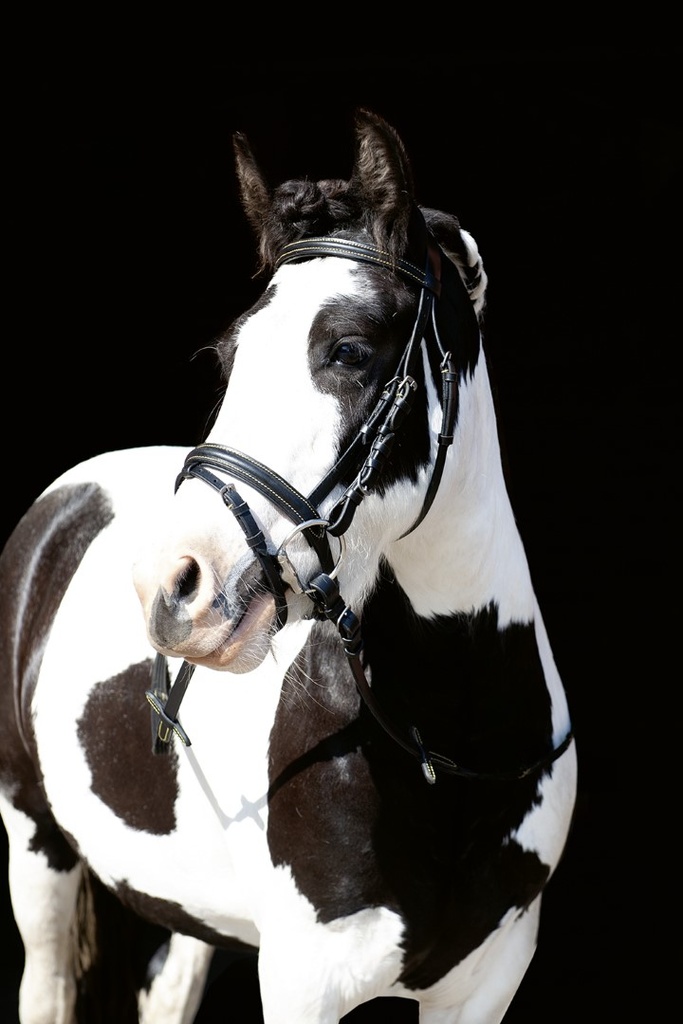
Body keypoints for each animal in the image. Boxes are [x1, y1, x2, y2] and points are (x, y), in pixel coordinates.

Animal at [0, 108, 577, 1023]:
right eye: (228, 357)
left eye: (347, 350)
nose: (174, 587)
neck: (445, 752)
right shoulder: (306, 978)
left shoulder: (486, 984)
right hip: (33, 840)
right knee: (48, 984)